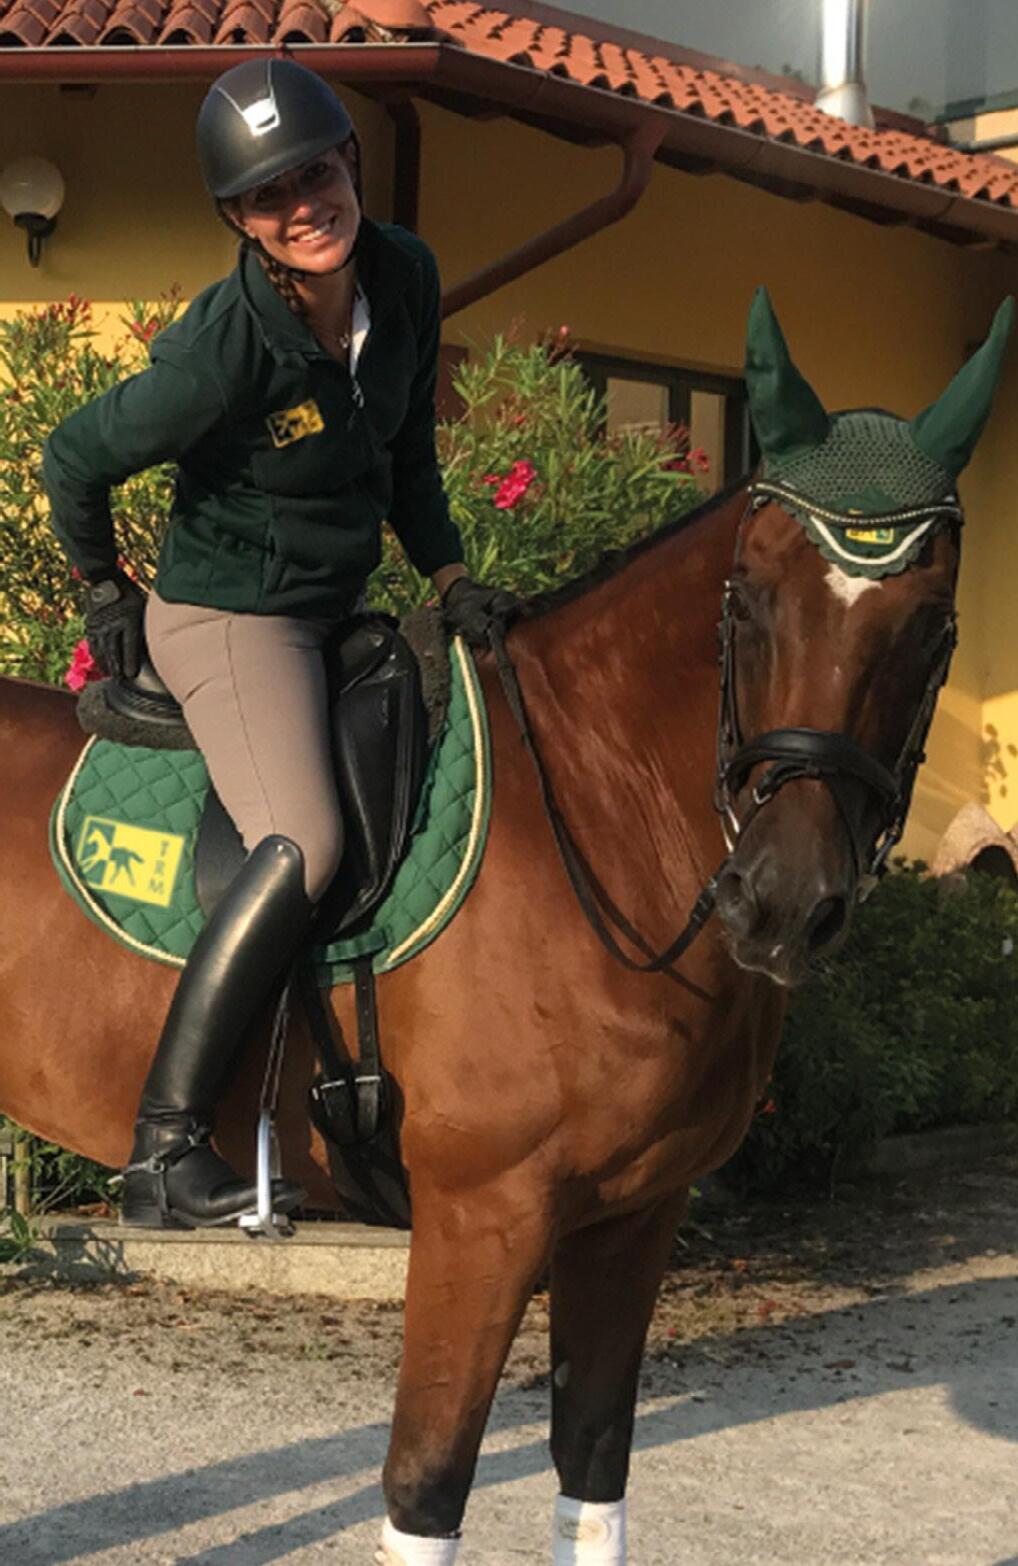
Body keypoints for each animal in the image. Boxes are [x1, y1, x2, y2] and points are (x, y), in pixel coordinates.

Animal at [0, 288, 1011, 1562]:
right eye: (751, 595)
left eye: (931, 625)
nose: (780, 903)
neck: (595, 814)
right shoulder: (481, 1221)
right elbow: (427, 1491)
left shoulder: (632, 1219)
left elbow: (593, 1477)